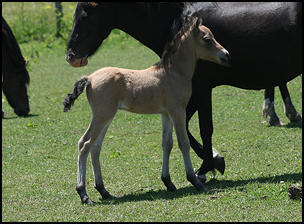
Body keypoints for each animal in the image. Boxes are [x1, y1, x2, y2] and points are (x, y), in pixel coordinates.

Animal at [63, 16, 230, 204]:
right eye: (207, 39)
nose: (226, 55)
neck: (173, 73)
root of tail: (89, 78)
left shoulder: (166, 114)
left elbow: (167, 144)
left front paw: (168, 182)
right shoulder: (178, 111)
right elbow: (183, 143)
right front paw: (195, 181)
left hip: (106, 117)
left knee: (95, 147)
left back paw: (104, 191)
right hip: (102, 116)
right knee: (84, 144)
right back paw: (83, 194)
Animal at [64, 2, 302, 183]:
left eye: (87, 12)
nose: (71, 56)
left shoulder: (200, 89)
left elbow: (203, 129)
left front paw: (206, 166)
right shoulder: (180, 99)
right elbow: (187, 129)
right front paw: (214, 161)